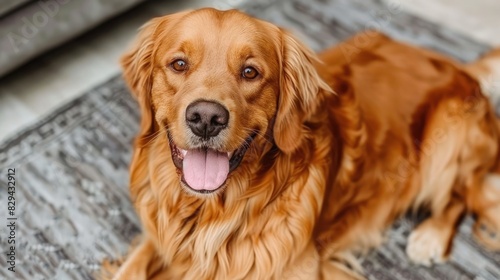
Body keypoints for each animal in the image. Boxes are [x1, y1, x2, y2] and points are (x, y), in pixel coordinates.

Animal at [112, 7, 500, 278]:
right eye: (178, 64)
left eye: (250, 72)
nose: (206, 118)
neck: (212, 213)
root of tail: (459, 67)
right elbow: (134, 265)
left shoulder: (302, 267)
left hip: (447, 137)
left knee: (463, 194)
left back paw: (429, 236)